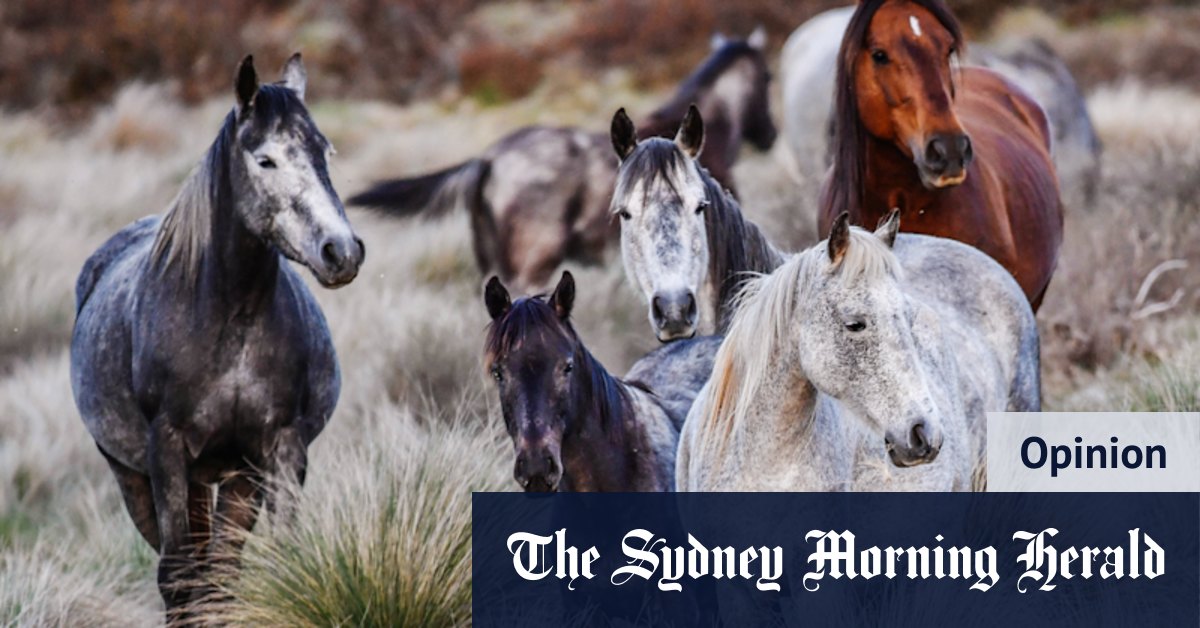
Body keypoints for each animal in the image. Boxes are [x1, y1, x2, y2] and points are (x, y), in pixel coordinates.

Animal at [70, 54, 364, 616]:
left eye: (325, 151)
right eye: (265, 160)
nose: (341, 251)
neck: (228, 319)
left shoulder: (276, 451)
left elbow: (266, 564)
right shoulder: (166, 454)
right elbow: (178, 577)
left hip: (226, 480)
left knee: (220, 572)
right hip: (135, 478)